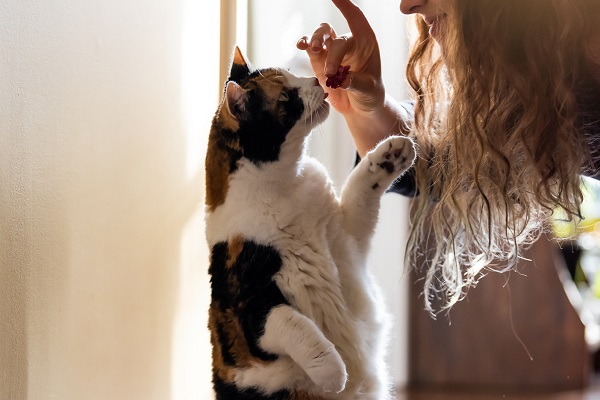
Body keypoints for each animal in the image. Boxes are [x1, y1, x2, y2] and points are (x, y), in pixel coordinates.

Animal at [204, 47, 414, 400]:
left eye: (293, 74)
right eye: (287, 97)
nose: (317, 79)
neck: (289, 188)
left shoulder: (348, 240)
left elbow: (360, 186)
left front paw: (390, 154)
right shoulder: (247, 305)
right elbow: (295, 325)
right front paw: (333, 372)